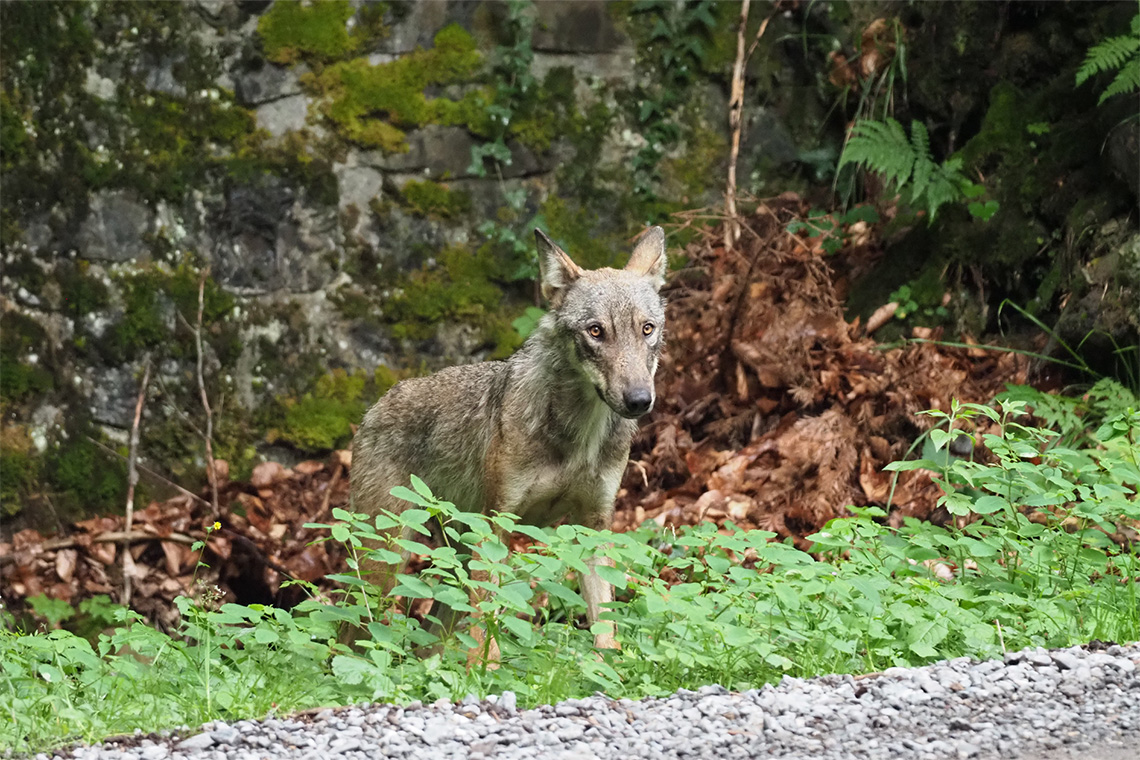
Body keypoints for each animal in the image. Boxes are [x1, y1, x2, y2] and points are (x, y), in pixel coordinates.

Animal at [346, 225, 665, 660]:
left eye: (647, 329)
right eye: (596, 331)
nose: (638, 400)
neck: (579, 436)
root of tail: (373, 408)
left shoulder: (595, 527)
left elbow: (605, 628)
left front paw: (606, 665)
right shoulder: (496, 525)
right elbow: (486, 631)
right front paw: (487, 670)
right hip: (387, 560)